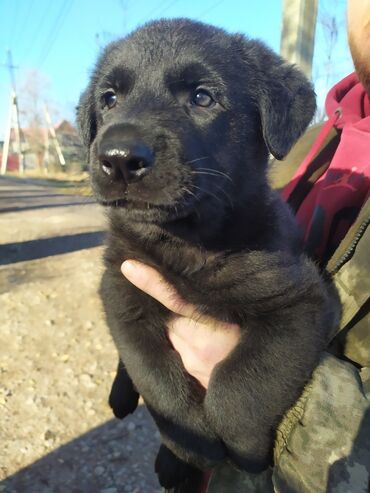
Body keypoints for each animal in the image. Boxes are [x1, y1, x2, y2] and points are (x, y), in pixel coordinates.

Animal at [77, 19, 338, 488]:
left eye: (202, 97)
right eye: (109, 99)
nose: (119, 158)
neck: (186, 242)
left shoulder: (299, 303)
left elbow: (241, 384)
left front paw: (244, 452)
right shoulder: (121, 292)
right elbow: (156, 377)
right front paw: (191, 446)